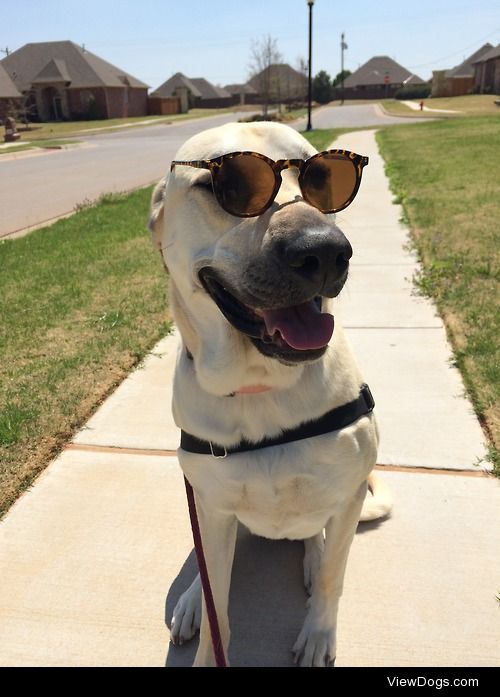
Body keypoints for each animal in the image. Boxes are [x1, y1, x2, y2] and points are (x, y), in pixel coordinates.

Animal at [148, 122, 390, 668]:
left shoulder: (347, 496)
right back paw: (192, 600)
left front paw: (319, 634)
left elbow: (333, 577)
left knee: (318, 543)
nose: (325, 251)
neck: (259, 386)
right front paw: (206, 630)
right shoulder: (212, 506)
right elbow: (218, 601)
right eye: (231, 185)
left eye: (322, 177)